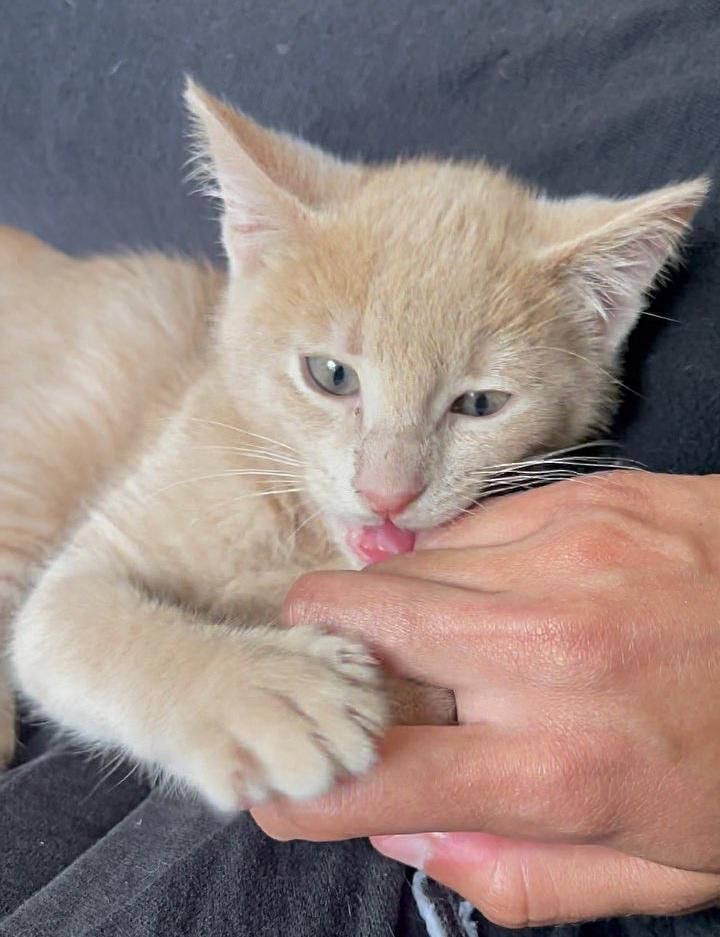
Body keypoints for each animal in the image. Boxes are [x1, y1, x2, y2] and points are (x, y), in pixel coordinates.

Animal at [0, 82, 704, 812]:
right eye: (332, 375)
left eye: (480, 404)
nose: (386, 494)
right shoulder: (91, 563)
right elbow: (72, 623)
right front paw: (269, 691)